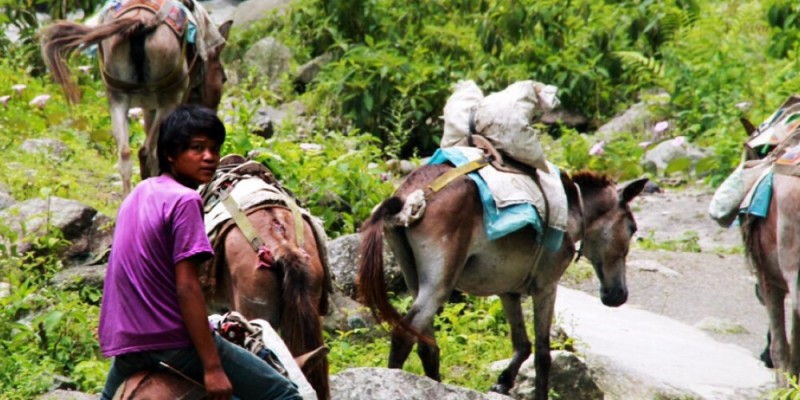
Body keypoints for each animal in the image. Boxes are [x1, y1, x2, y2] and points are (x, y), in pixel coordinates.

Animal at [40, 0, 231, 194]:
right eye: (224, 78)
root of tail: (143, 22)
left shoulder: (149, 106)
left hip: (117, 96)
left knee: (125, 153)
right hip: (168, 98)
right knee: (148, 151)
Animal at [360, 162, 648, 400]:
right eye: (632, 227)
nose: (618, 296)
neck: (573, 209)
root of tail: (409, 197)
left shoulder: (508, 291)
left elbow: (522, 345)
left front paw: (503, 382)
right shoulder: (546, 287)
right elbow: (543, 354)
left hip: (416, 282)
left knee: (426, 345)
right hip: (437, 287)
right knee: (404, 335)